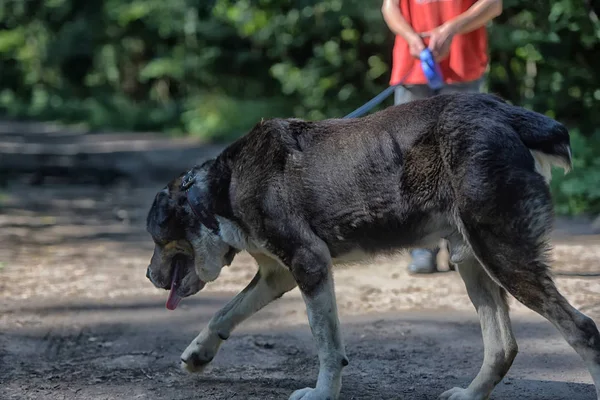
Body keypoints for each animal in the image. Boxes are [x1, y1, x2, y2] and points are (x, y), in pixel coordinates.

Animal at [145, 92, 600, 398]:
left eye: (156, 239)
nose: (149, 275)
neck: (219, 192)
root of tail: (505, 114)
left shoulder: (310, 263)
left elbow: (327, 344)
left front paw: (322, 394)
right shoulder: (279, 275)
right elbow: (226, 313)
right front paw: (199, 352)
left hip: (502, 254)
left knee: (583, 330)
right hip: (472, 260)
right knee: (503, 346)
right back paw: (471, 394)